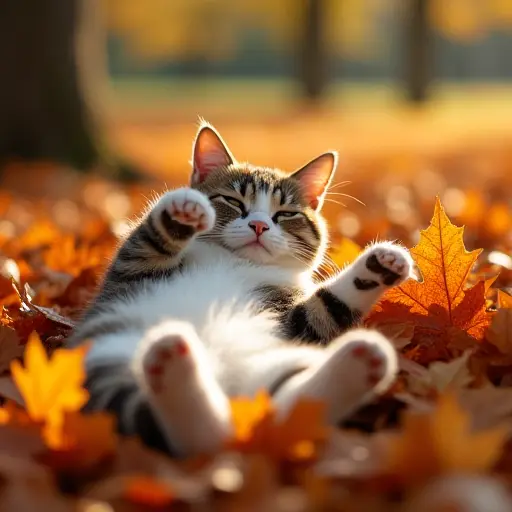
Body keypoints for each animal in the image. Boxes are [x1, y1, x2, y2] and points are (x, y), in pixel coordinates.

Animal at [68, 120, 414, 456]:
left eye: (286, 213)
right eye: (233, 201)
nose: (259, 225)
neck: (235, 261)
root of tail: (228, 392)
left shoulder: (291, 322)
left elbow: (324, 309)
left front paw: (383, 263)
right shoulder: (133, 268)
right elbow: (148, 241)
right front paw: (183, 210)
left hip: (273, 365)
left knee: (290, 412)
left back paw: (361, 359)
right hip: (107, 356)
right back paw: (174, 363)